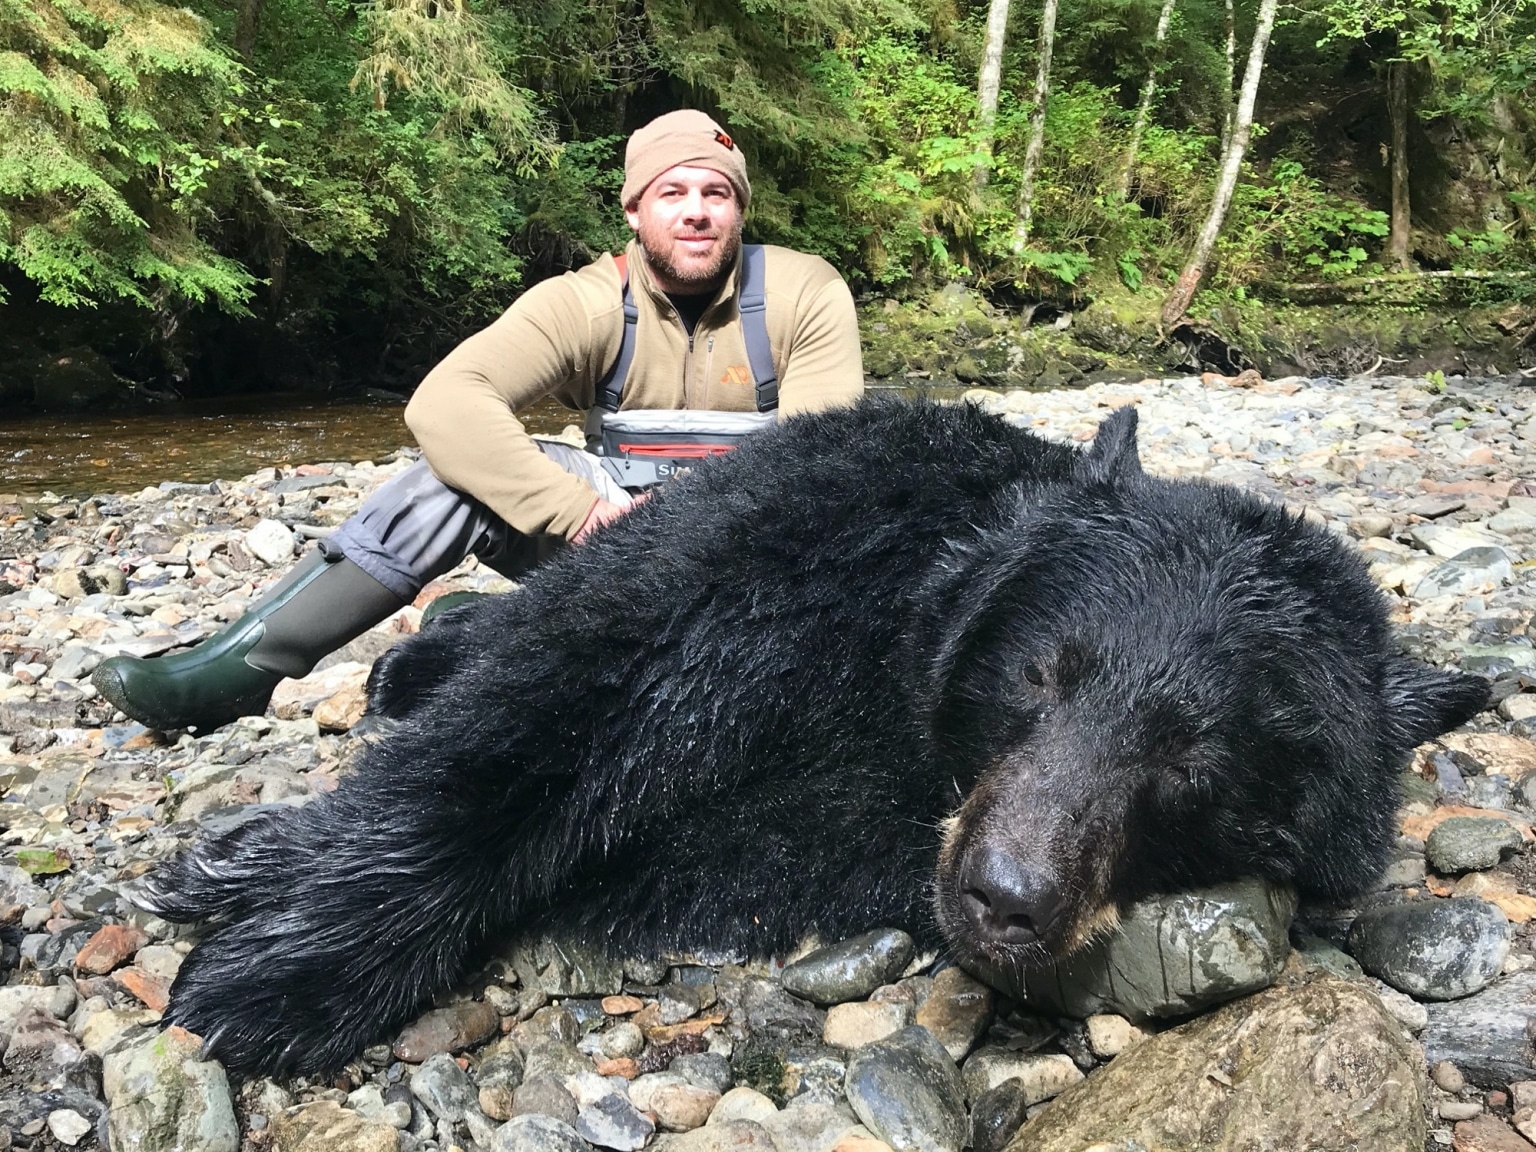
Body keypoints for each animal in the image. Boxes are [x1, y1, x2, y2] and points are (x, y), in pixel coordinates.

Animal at [137, 398, 1489, 1077]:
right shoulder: (804, 524)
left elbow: (713, 842)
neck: (902, 627)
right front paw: (282, 964)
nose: (1009, 896)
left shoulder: (858, 813)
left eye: (1197, 764)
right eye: (1044, 674)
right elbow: (553, 704)